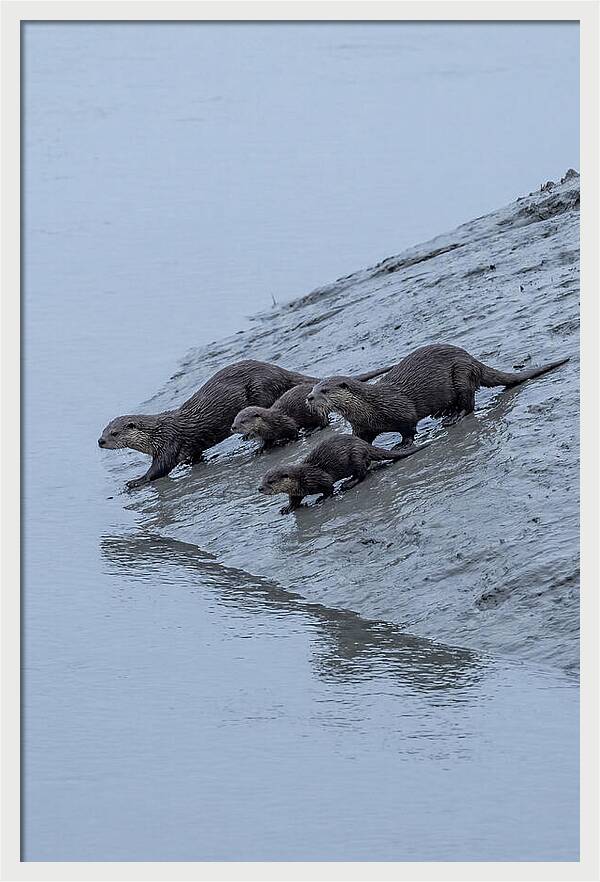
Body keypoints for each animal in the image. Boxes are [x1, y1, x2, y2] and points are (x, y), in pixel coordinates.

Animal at [99, 360, 324, 489]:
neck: (157, 434)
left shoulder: (168, 443)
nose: (100, 441)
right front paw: (191, 461)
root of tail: (277, 370)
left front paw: (136, 481)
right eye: (103, 431)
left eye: (114, 433)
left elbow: (159, 469)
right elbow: (195, 452)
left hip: (262, 389)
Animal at [230, 366, 394, 450]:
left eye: (243, 421)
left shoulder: (285, 422)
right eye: (234, 419)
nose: (233, 427)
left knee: (324, 422)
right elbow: (267, 441)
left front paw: (289, 441)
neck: (269, 423)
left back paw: (312, 429)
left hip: (316, 411)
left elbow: (293, 431)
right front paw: (261, 448)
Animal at [259, 434, 426, 514]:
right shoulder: (295, 492)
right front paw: (287, 508)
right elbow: (294, 501)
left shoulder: (320, 478)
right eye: (262, 479)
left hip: (355, 456)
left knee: (362, 473)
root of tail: (363, 443)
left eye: (271, 481)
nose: (260, 489)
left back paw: (348, 483)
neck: (301, 478)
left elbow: (328, 488)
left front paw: (321, 498)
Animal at [307, 344, 570, 447]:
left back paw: (453, 417)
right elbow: (361, 440)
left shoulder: (401, 410)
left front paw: (403, 444)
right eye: (312, 389)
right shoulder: (362, 427)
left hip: (461, 374)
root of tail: (473, 360)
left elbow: (409, 427)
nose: (309, 398)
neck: (370, 407)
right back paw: (444, 412)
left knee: (469, 403)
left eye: (324, 390)